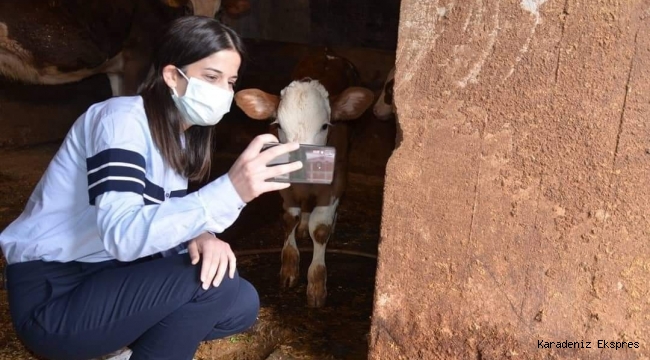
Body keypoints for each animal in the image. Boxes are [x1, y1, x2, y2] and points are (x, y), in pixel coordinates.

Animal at [233, 47, 374, 306]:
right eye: (278, 125)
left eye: (325, 126)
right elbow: (289, 218)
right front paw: (289, 267)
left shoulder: (336, 180)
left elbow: (320, 228)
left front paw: (316, 283)